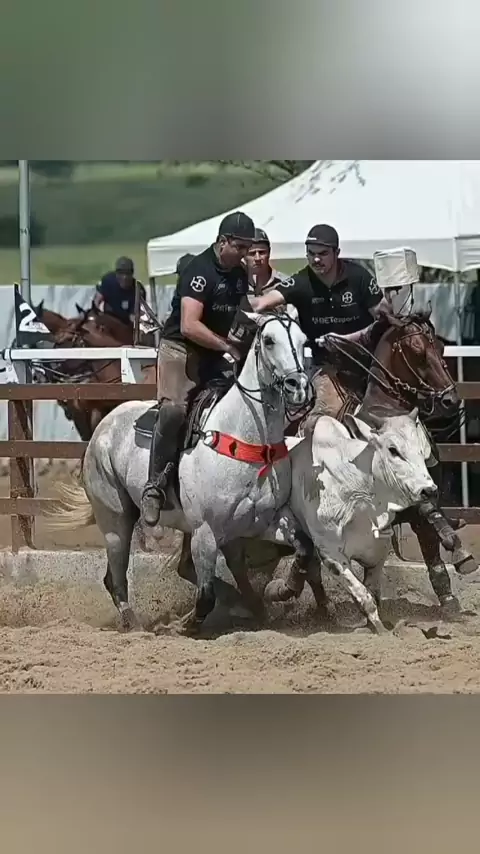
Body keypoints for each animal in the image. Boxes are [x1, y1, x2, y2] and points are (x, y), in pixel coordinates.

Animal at [47, 311, 313, 634]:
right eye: (269, 340)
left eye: (303, 340)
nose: (297, 386)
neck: (247, 435)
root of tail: (105, 425)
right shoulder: (205, 531)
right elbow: (206, 595)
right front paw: (184, 626)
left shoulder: (267, 520)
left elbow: (304, 548)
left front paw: (283, 589)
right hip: (115, 519)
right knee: (116, 577)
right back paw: (135, 624)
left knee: (197, 568)